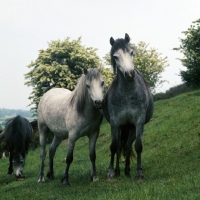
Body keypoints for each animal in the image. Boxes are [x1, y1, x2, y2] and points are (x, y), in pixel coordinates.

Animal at [103, 32, 153, 180]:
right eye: (115, 56)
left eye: (131, 52)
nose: (130, 74)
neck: (127, 96)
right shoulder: (115, 123)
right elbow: (114, 146)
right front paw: (111, 172)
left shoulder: (138, 122)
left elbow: (138, 146)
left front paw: (139, 173)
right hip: (122, 128)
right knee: (120, 147)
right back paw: (118, 171)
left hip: (131, 128)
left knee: (128, 146)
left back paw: (127, 171)